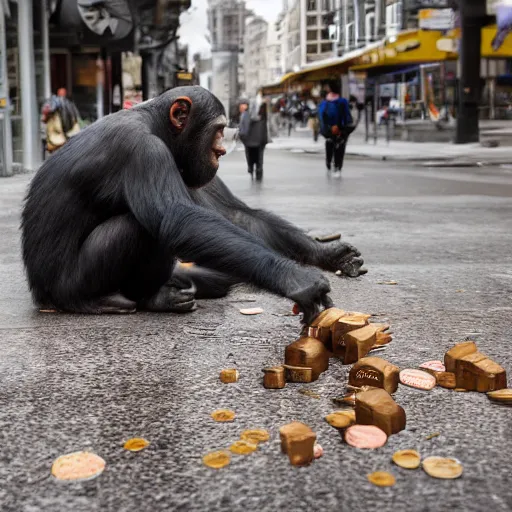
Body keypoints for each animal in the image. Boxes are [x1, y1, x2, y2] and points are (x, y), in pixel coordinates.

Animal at [21, 85, 364, 322]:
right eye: (218, 129)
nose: (221, 149)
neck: (155, 125)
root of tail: (41, 296)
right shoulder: (145, 152)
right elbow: (180, 219)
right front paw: (296, 279)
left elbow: (234, 216)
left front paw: (328, 253)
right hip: (69, 286)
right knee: (138, 227)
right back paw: (134, 299)